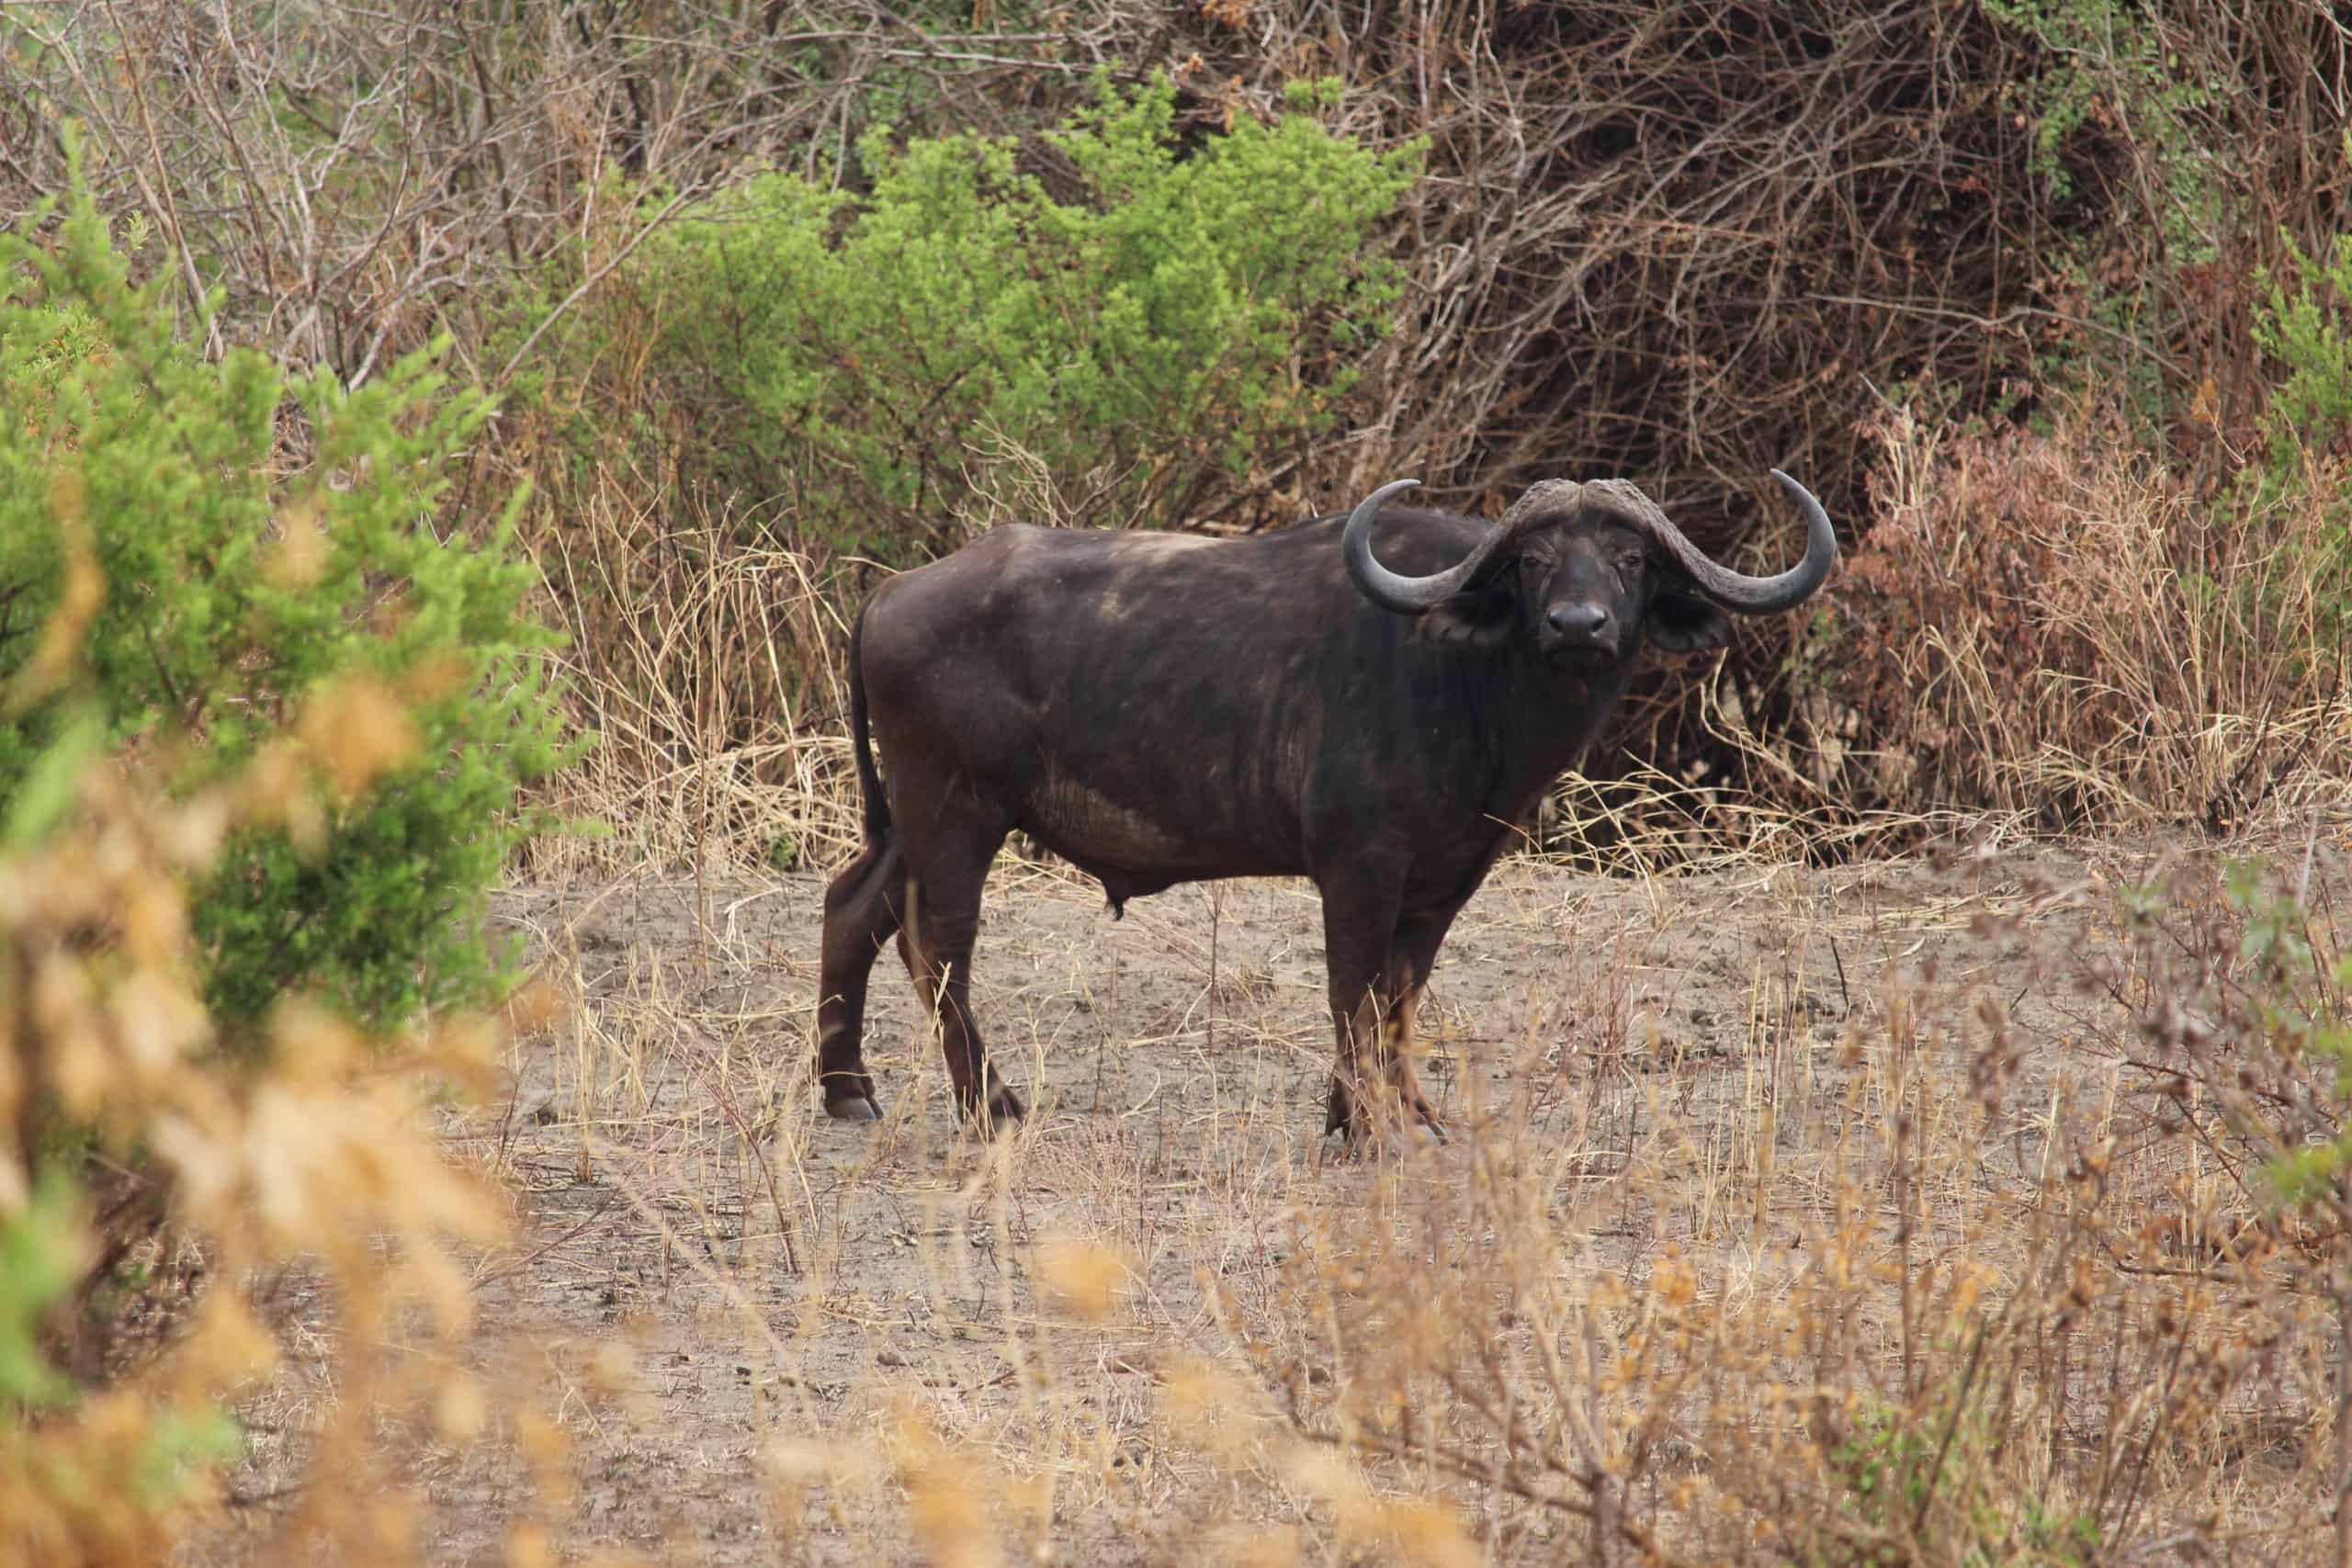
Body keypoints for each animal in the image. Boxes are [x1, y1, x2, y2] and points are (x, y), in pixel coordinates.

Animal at [816, 472, 1836, 1139]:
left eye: (1628, 558)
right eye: (1534, 561)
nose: (1578, 625)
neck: (1467, 679)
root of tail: (892, 592)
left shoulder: (1446, 880)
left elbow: (1400, 996)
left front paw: (1400, 1112)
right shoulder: (1358, 869)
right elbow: (1353, 991)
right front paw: (1367, 1121)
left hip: (916, 823)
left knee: (851, 909)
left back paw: (846, 1090)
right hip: (955, 814)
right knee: (936, 948)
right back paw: (990, 1107)